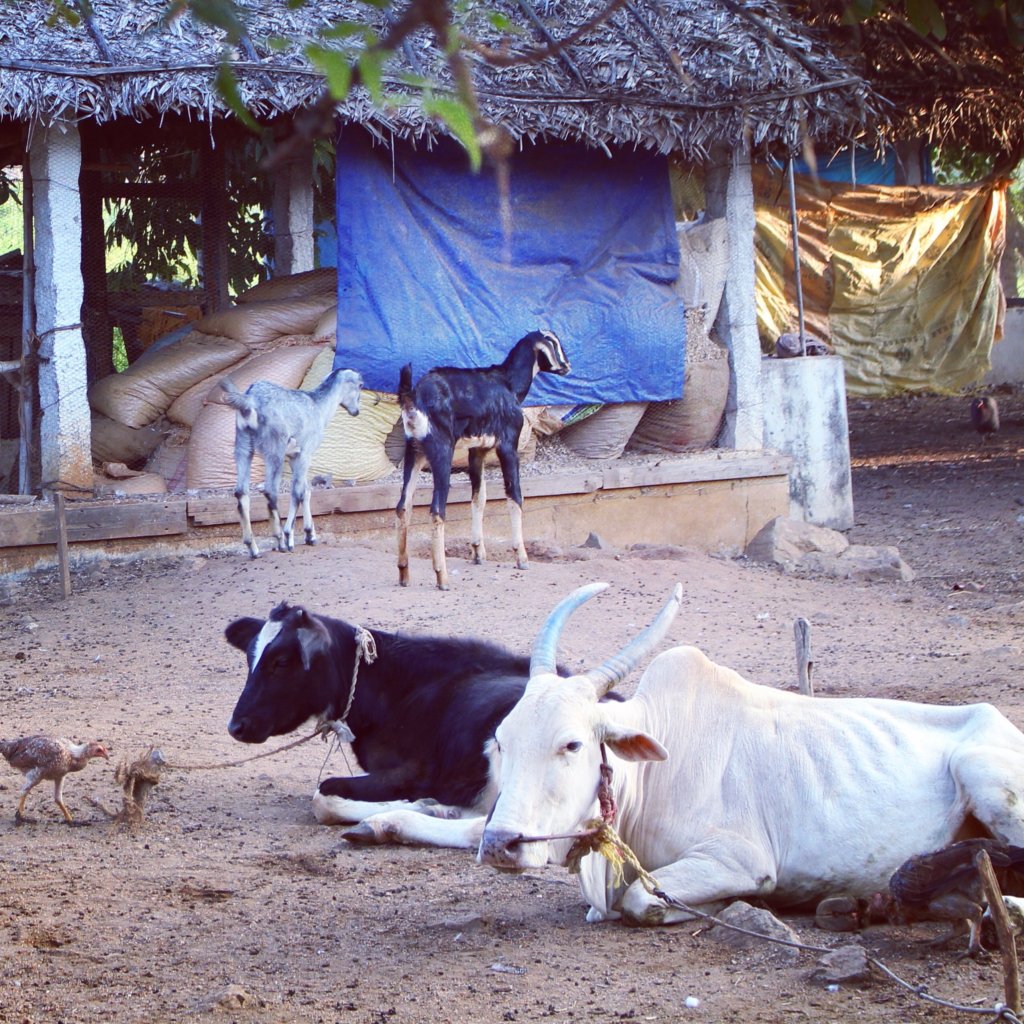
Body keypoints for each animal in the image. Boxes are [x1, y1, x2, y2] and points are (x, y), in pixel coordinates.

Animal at [221, 366, 364, 561]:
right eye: (361, 385)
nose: (356, 410)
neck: (319, 407)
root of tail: (249, 400)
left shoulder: (294, 456)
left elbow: (306, 490)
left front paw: (310, 535)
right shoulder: (305, 453)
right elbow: (297, 492)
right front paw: (291, 537)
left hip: (243, 443)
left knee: (241, 493)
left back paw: (253, 548)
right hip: (275, 447)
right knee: (270, 490)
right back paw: (280, 540)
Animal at [227, 598, 561, 847]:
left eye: (281, 662)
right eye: (249, 659)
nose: (236, 726)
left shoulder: (414, 774)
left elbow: (323, 794)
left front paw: (422, 805)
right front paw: (434, 806)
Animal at [393, 331, 569, 589]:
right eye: (553, 343)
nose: (567, 366)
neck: (508, 384)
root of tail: (414, 398)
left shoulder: (477, 451)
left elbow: (479, 498)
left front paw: (478, 552)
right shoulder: (508, 446)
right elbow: (515, 496)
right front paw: (521, 557)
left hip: (414, 451)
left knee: (403, 506)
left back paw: (404, 573)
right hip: (441, 451)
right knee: (437, 510)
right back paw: (442, 577)